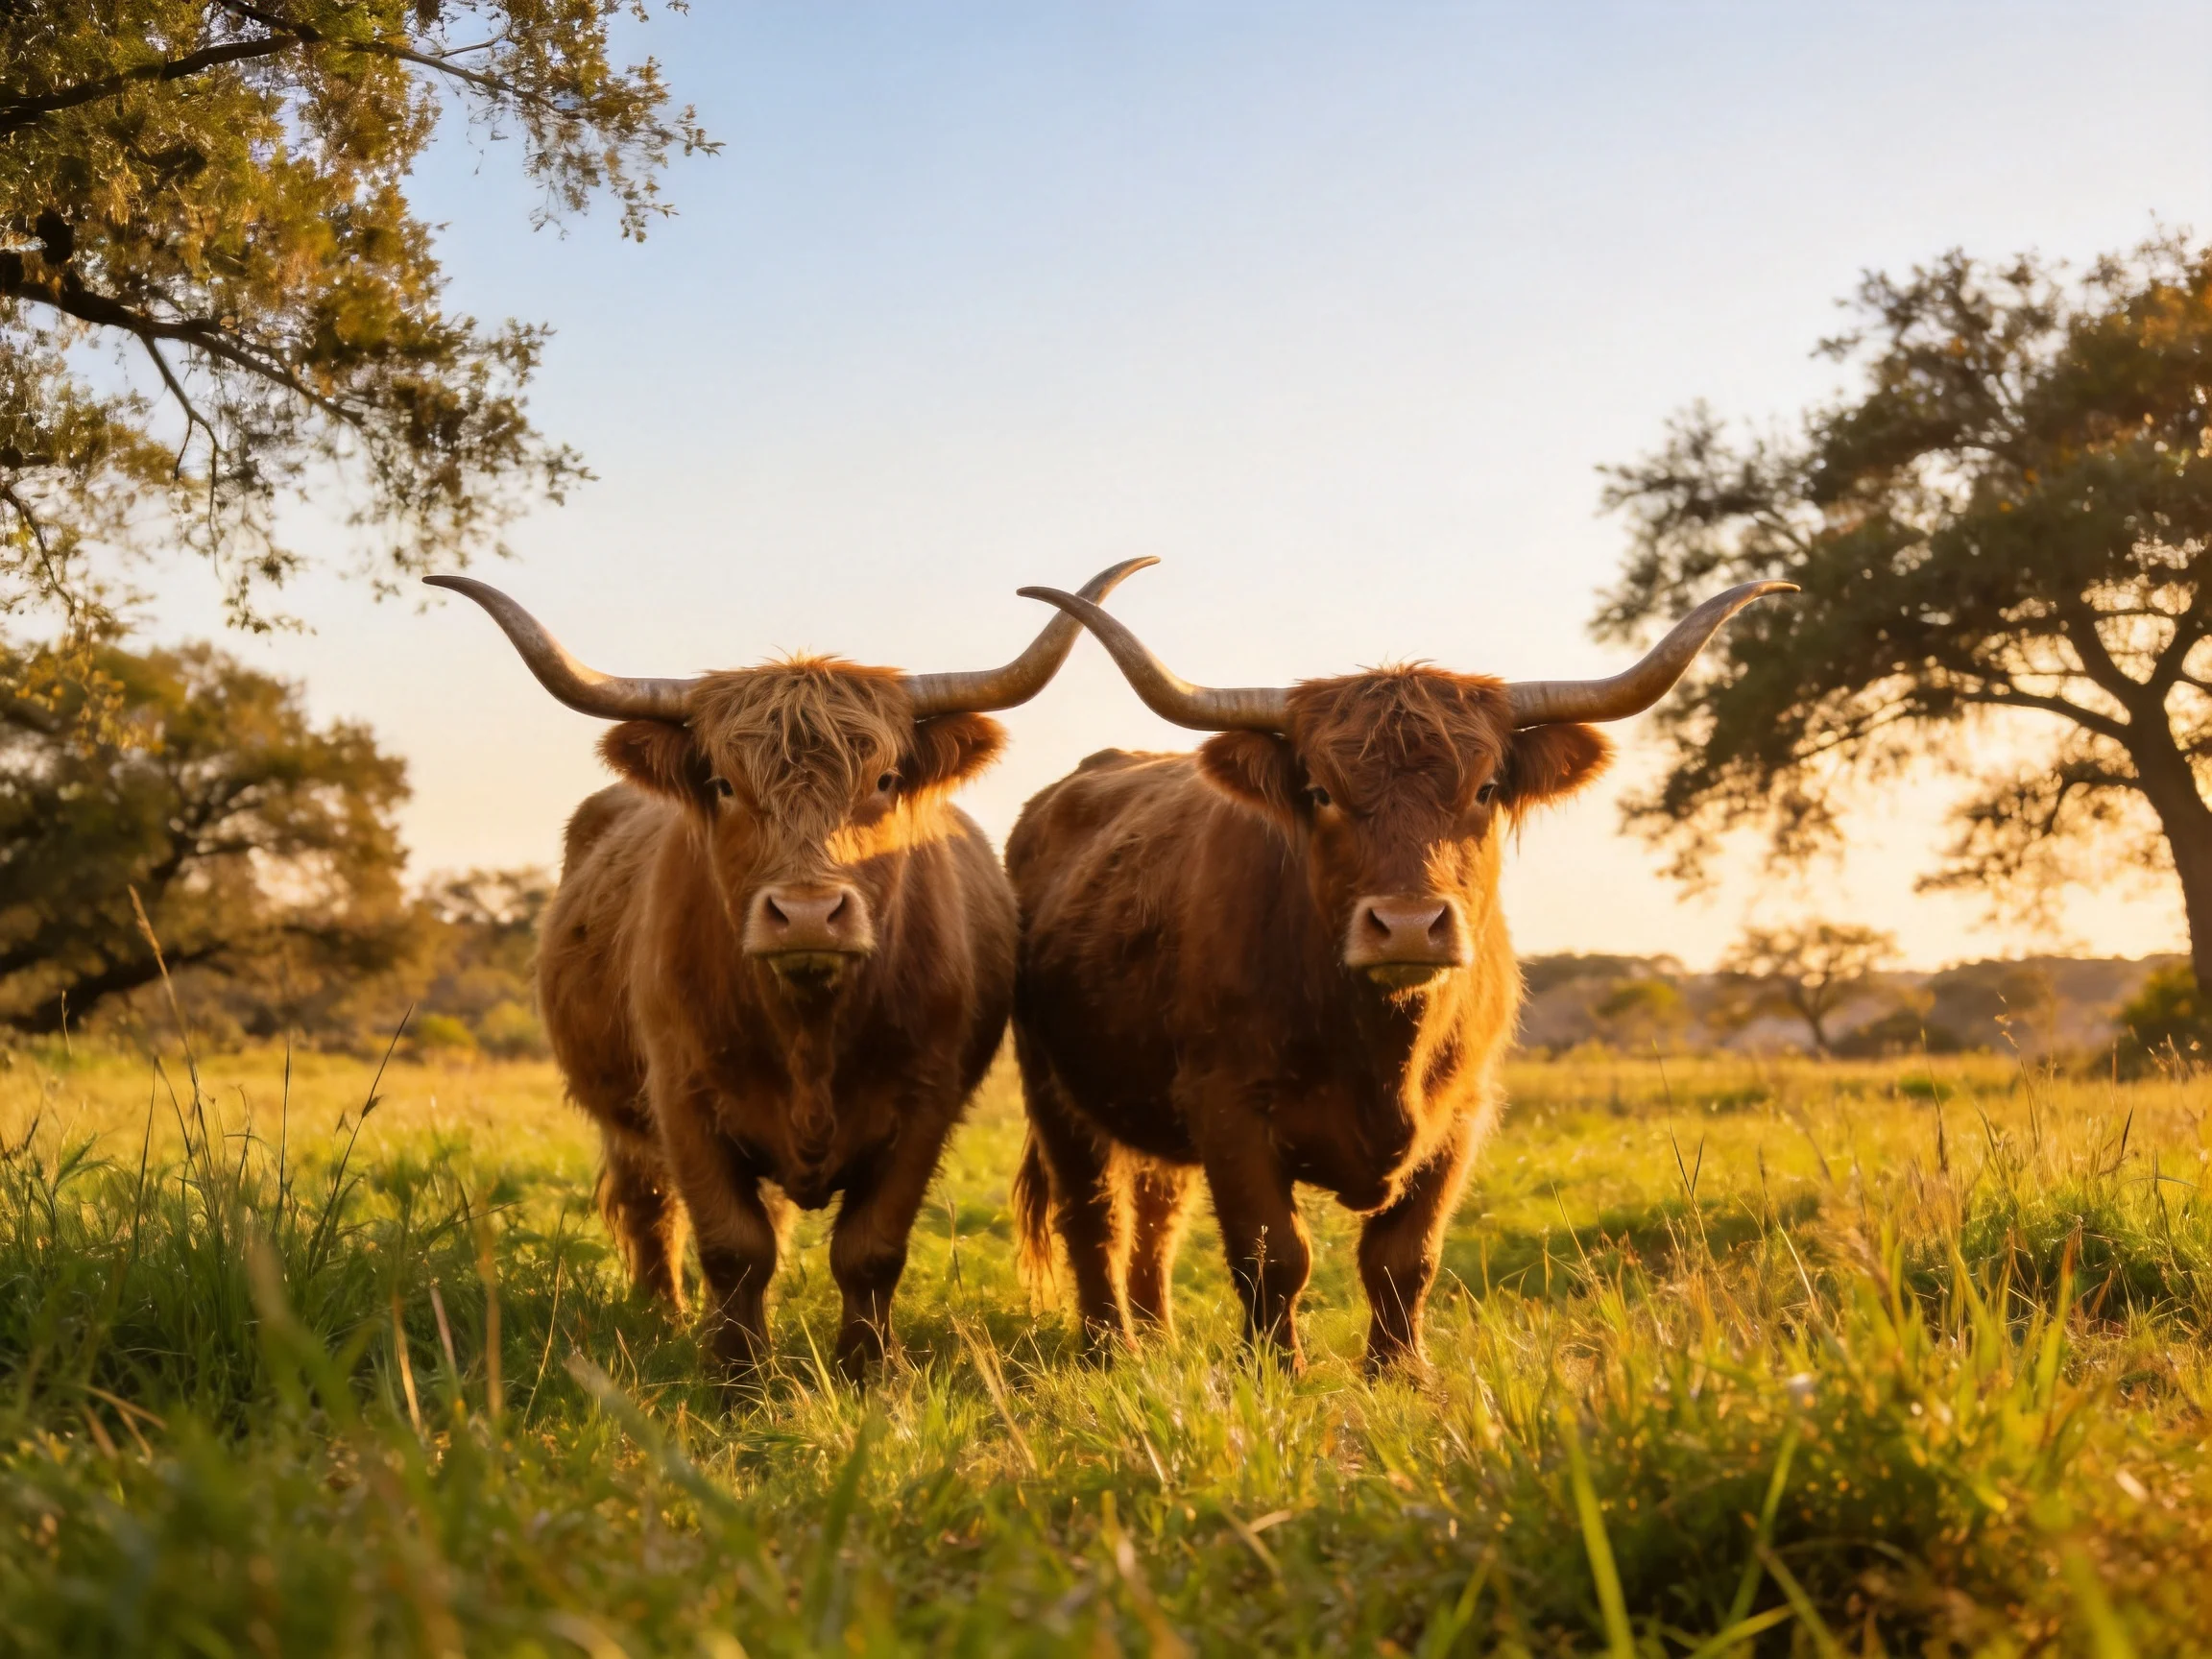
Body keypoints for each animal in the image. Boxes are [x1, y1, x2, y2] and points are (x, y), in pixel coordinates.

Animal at [426, 560, 1154, 1380]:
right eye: (724, 784)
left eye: (884, 780)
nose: (807, 913)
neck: (810, 1027)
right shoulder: (681, 1099)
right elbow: (732, 1247)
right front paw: (738, 1379)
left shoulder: (924, 1105)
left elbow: (869, 1250)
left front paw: (866, 1371)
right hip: (626, 1117)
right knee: (651, 1207)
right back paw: (662, 1319)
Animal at [1004, 578, 1792, 1373]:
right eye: (1321, 792)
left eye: (1485, 789)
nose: (1410, 924)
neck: (1383, 1052)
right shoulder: (1227, 1104)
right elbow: (1273, 1255)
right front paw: (1277, 1369)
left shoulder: (1463, 1113)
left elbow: (1404, 1257)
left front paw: (1400, 1371)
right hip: (1052, 1087)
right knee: (1095, 1214)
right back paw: (1110, 1348)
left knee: (1157, 1213)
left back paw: (1157, 1336)